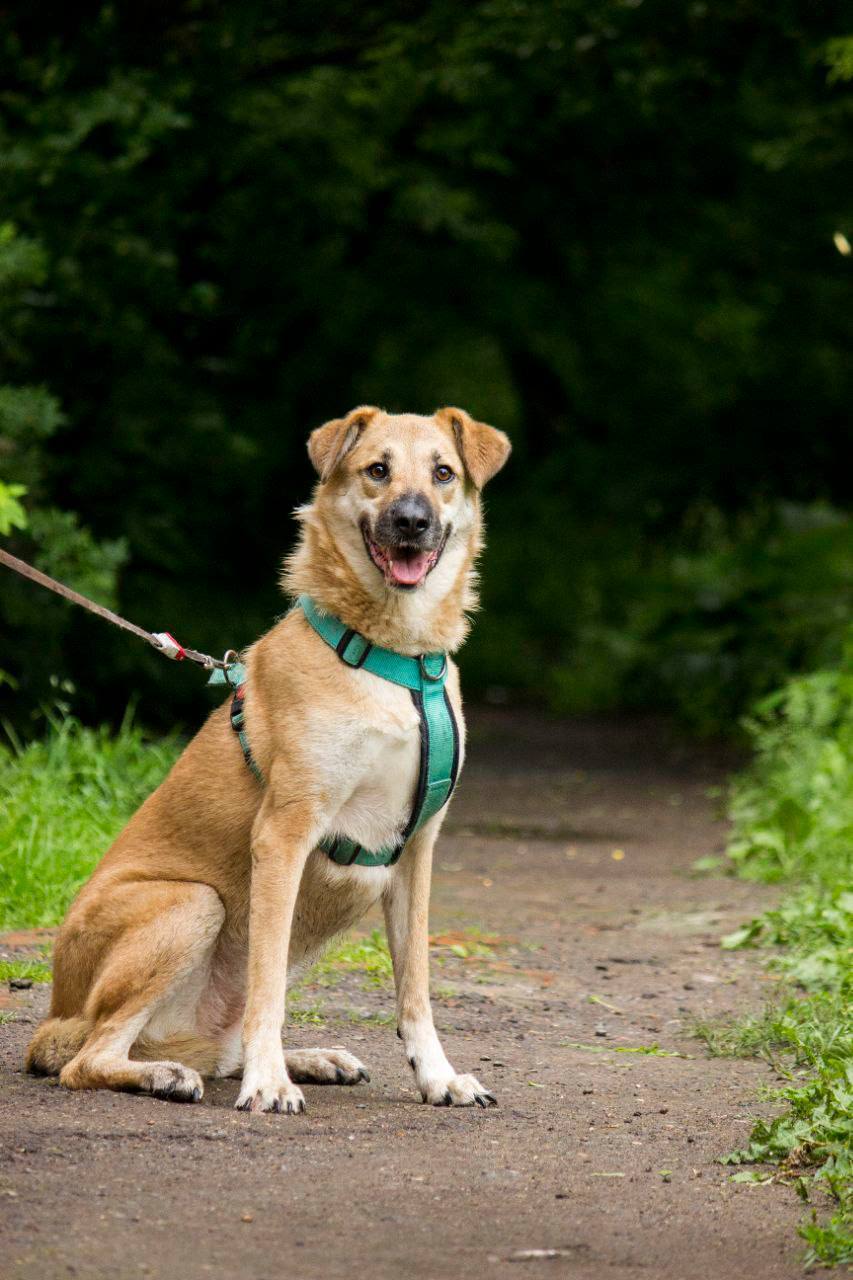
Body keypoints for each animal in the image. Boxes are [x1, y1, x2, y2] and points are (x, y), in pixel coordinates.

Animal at [26, 407, 507, 1111]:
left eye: (443, 473)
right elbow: (267, 990)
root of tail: (54, 1018)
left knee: (210, 1046)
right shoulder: (284, 834)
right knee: (89, 1058)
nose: (412, 521)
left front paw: (438, 1076)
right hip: (193, 905)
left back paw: (309, 1059)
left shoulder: (417, 850)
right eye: (378, 470)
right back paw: (168, 1074)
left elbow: (415, 988)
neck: (391, 658)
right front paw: (269, 1083)